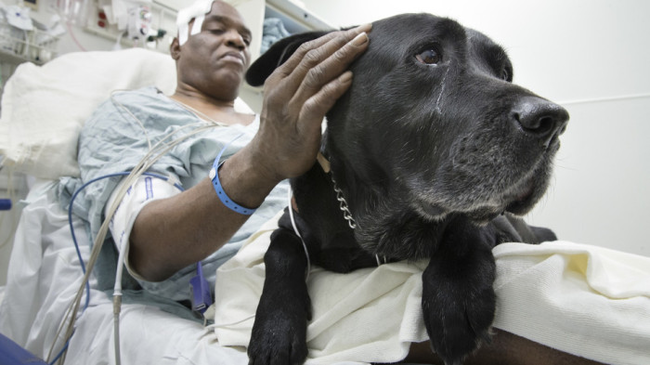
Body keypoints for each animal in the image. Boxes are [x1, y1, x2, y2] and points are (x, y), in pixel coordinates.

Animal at [243, 12, 568, 364]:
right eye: (428, 55)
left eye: (505, 72)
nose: (554, 122)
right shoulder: (291, 224)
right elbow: (279, 249)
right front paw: (275, 329)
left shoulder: (492, 223)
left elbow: (467, 224)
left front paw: (454, 292)